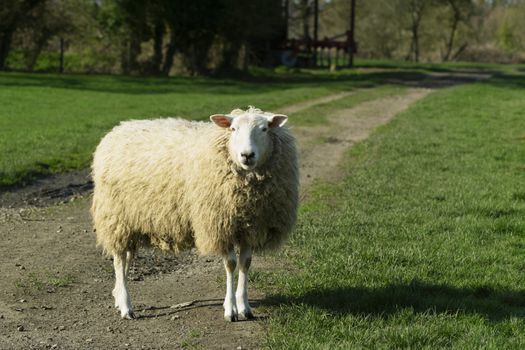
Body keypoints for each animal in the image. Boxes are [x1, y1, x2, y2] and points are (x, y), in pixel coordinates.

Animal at [90, 106, 298, 320]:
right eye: (233, 129)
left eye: (264, 129)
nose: (247, 155)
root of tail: (118, 129)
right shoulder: (219, 225)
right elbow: (231, 264)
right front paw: (230, 310)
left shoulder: (250, 227)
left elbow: (245, 263)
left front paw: (244, 307)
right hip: (116, 219)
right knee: (119, 259)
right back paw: (125, 306)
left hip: (133, 222)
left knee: (126, 260)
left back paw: (118, 297)